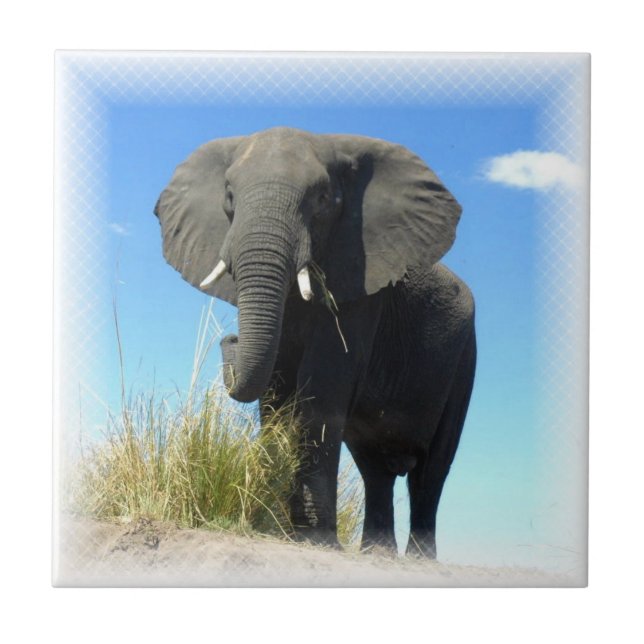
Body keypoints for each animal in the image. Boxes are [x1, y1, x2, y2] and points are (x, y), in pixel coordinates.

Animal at [154, 126, 476, 557]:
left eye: (323, 200)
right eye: (229, 196)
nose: (230, 337)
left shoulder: (361, 283)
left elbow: (322, 385)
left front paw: (312, 538)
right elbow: (275, 389)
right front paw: (278, 529)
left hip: (464, 357)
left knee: (431, 470)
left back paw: (418, 561)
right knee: (374, 468)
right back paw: (376, 554)